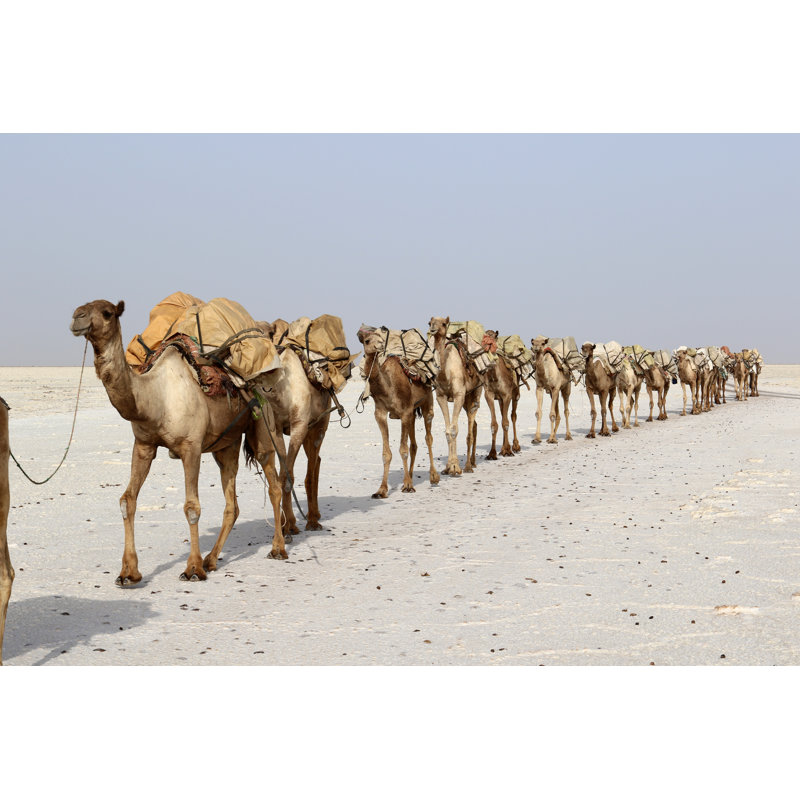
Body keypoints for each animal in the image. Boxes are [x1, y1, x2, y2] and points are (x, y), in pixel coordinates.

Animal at [70, 299, 287, 585]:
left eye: (107, 313)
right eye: (81, 307)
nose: (77, 317)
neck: (155, 397)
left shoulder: (191, 447)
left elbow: (191, 507)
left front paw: (192, 569)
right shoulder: (143, 445)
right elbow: (128, 500)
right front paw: (128, 573)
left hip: (262, 425)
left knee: (274, 485)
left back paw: (277, 549)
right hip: (225, 445)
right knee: (232, 501)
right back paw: (212, 559)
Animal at [357, 327, 439, 496]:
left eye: (380, 338)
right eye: (367, 340)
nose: (380, 345)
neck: (386, 386)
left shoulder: (404, 412)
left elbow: (403, 449)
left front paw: (408, 486)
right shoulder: (380, 414)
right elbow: (386, 453)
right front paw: (381, 489)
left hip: (427, 401)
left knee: (428, 437)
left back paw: (433, 476)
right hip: (413, 412)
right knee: (414, 444)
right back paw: (411, 476)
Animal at [428, 317, 484, 475]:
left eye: (443, 323)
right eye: (430, 322)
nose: (433, 329)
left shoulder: (459, 395)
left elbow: (454, 429)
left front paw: (455, 467)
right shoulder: (440, 397)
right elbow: (447, 430)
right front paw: (447, 467)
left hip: (476, 391)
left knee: (471, 425)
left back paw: (468, 466)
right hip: (466, 398)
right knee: (474, 426)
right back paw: (473, 462)